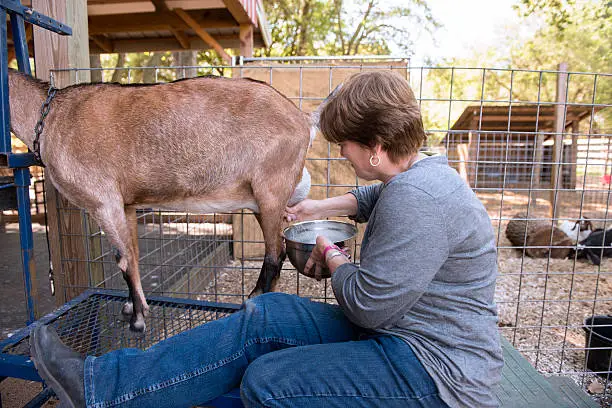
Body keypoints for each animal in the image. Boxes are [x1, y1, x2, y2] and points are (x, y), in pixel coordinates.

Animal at [10, 70, 314, 332]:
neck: (52, 117)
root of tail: (303, 119)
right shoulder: (126, 205)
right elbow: (132, 254)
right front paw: (133, 306)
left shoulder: (103, 201)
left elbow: (122, 259)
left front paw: (138, 320)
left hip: (270, 189)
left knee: (275, 253)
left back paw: (253, 298)